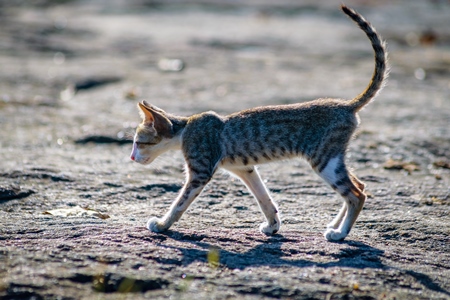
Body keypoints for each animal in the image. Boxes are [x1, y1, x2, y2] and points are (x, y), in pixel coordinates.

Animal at [130, 4, 386, 241]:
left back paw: (340, 234)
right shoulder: (244, 168)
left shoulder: (200, 172)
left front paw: (162, 225)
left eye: (139, 143)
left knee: (356, 194)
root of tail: (347, 105)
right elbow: (264, 197)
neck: (185, 129)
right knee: (360, 186)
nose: (131, 158)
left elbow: (179, 203)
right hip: (332, 157)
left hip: (324, 159)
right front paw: (273, 225)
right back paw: (335, 225)